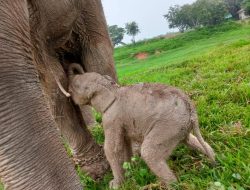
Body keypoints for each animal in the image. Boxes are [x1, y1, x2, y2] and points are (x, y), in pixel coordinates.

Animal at [68, 63, 215, 189]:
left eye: (76, 85)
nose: (75, 69)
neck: (112, 87)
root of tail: (190, 107)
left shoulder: (111, 119)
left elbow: (112, 149)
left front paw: (114, 185)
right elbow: (125, 144)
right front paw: (131, 171)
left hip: (168, 126)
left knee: (149, 153)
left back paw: (172, 185)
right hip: (179, 127)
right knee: (191, 140)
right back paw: (214, 161)